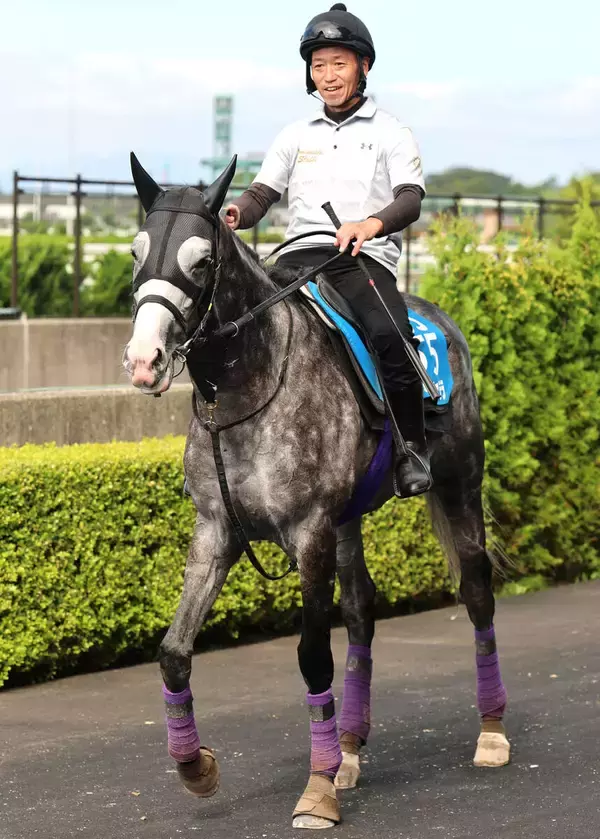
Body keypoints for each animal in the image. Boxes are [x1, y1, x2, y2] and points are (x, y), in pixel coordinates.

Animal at [123, 153, 510, 830]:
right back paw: (349, 750)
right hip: (348, 522)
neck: (249, 391)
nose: (145, 360)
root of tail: (439, 318)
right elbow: (172, 650)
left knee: (477, 593)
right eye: (137, 250)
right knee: (361, 612)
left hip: (460, 484)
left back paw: (490, 734)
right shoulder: (217, 532)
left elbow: (311, 657)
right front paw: (197, 769)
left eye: (202, 260)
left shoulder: (308, 535)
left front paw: (317, 791)